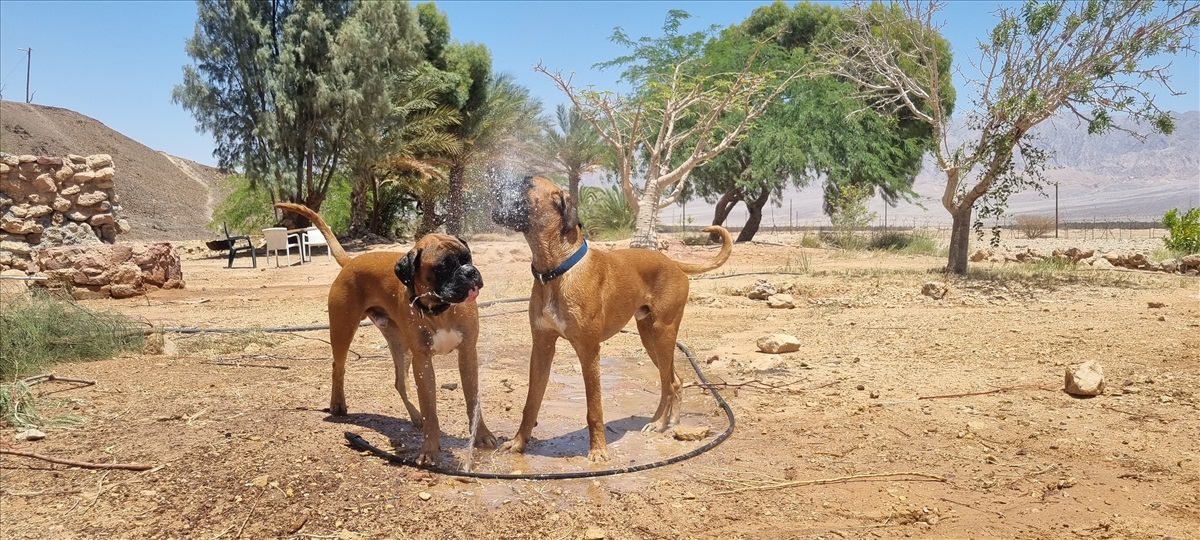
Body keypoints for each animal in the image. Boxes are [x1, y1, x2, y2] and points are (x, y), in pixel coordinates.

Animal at [274, 202, 494, 463]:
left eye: (467, 257)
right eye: (442, 267)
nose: (470, 272)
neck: (439, 309)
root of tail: (350, 262)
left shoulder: (467, 353)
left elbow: (473, 400)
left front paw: (481, 436)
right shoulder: (423, 362)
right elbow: (431, 409)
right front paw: (429, 450)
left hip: (401, 347)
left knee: (400, 382)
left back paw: (415, 416)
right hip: (343, 329)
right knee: (338, 367)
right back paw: (338, 404)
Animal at [487, 176, 729, 460]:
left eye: (527, 183)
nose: (496, 183)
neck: (557, 271)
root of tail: (673, 262)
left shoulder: (589, 350)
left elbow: (594, 408)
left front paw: (598, 450)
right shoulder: (542, 348)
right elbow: (531, 403)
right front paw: (518, 443)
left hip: (664, 333)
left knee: (669, 383)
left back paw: (660, 423)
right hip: (649, 337)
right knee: (673, 380)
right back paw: (664, 421)